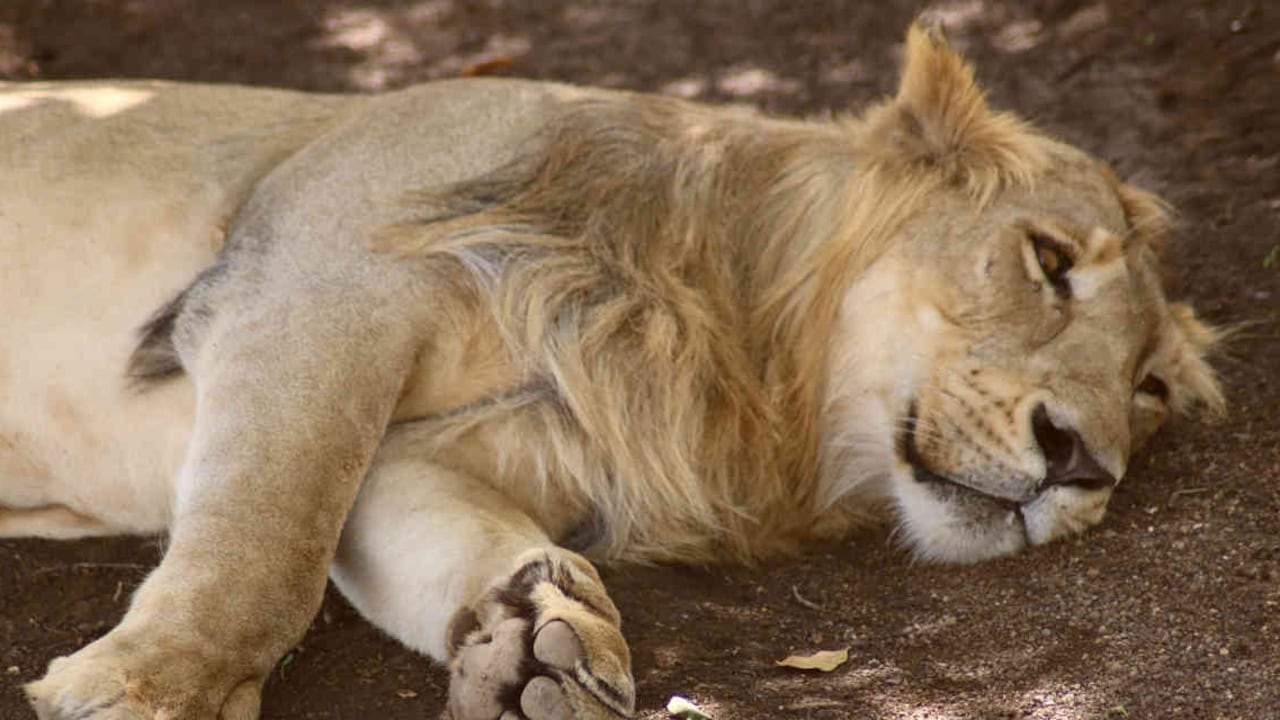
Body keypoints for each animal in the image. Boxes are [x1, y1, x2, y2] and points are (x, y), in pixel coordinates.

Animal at [0, 24, 1221, 720]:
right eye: (1049, 261)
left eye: (1150, 392)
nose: (1082, 464)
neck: (736, 354)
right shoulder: (315, 277)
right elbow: (268, 542)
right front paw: (152, 691)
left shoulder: (432, 449)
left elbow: (410, 530)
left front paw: (532, 641)